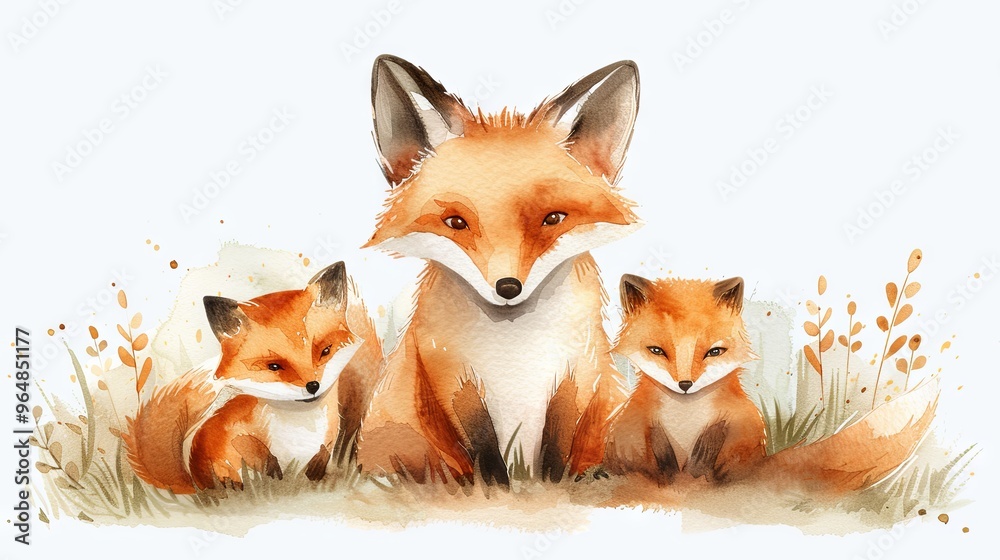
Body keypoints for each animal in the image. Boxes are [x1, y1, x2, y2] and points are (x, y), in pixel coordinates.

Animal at [124, 262, 383, 493]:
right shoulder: (231, 438)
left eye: (325, 351)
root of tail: (192, 485)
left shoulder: (325, 447)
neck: (300, 430)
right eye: (274, 366)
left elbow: (315, 470)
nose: (313, 386)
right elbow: (259, 460)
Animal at [355, 55, 641, 485]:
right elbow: (484, 452)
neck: (514, 347)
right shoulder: (452, 378)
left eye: (553, 218)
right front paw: (495, 489)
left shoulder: (579, 373)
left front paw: (551, 488)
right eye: (456, 223)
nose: (508, 288)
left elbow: (557, 451)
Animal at [604, 273, 938, 494]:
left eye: (714, 352)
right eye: (657, 351)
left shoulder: (738, 422)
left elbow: (716, 447)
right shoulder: (638, 425)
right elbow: (654, 451)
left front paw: (696, 474)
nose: (685, 384)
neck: (686, 415)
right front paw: (672, 477)